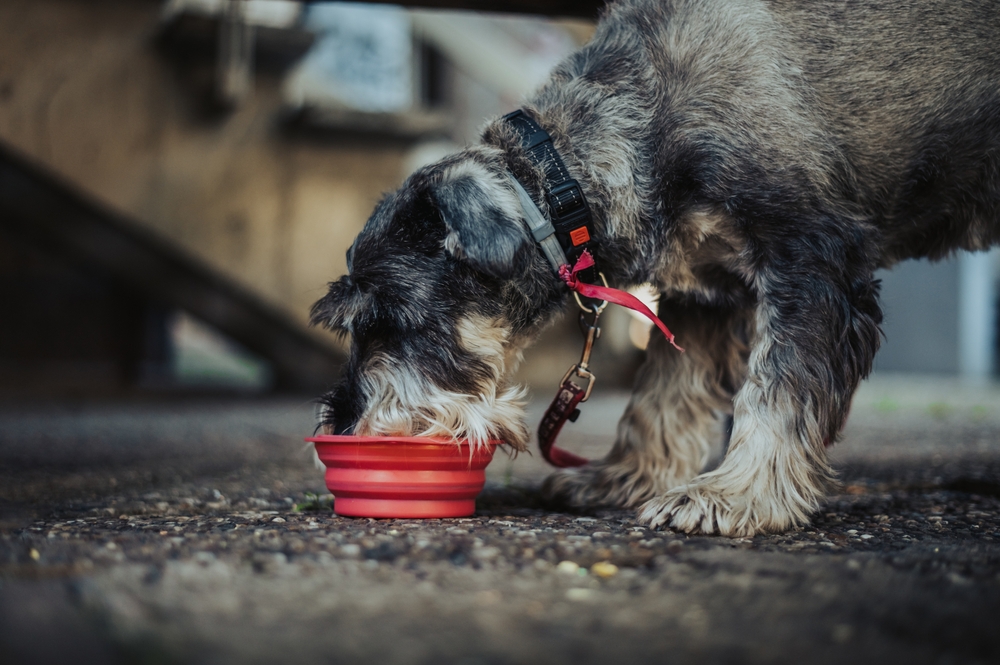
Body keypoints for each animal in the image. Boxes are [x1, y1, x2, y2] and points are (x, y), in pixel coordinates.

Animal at [310, 0, 1000, 536]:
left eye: (391, 320)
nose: (340, 421)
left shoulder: (814, 264)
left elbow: (777, 389)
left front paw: (733, 495)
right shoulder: (708, 295)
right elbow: (665, 392)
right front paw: (626, 475)